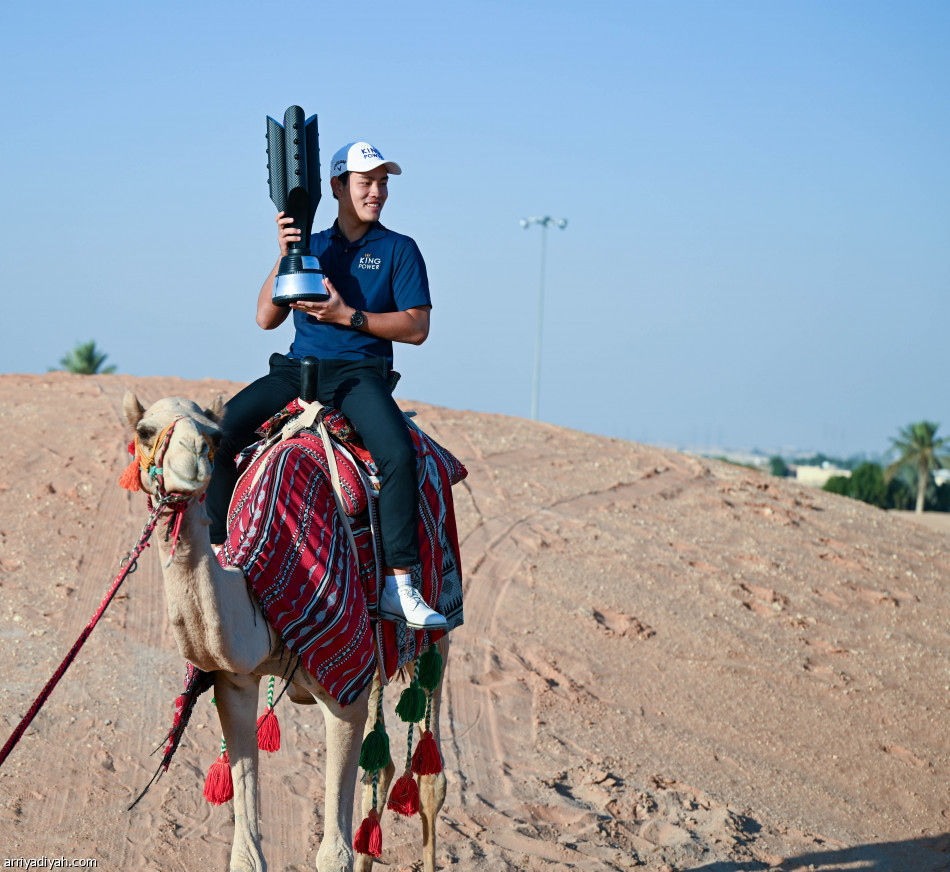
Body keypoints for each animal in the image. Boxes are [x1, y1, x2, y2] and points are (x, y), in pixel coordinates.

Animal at [124, 394, 452, 872]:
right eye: (145, 431)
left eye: (214, 437)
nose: (193, 460)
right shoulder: (235, 685)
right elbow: (246, 856)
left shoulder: (342, 689)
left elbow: (334, 855)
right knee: (382, 767)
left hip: (440, 632)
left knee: (430, 778)